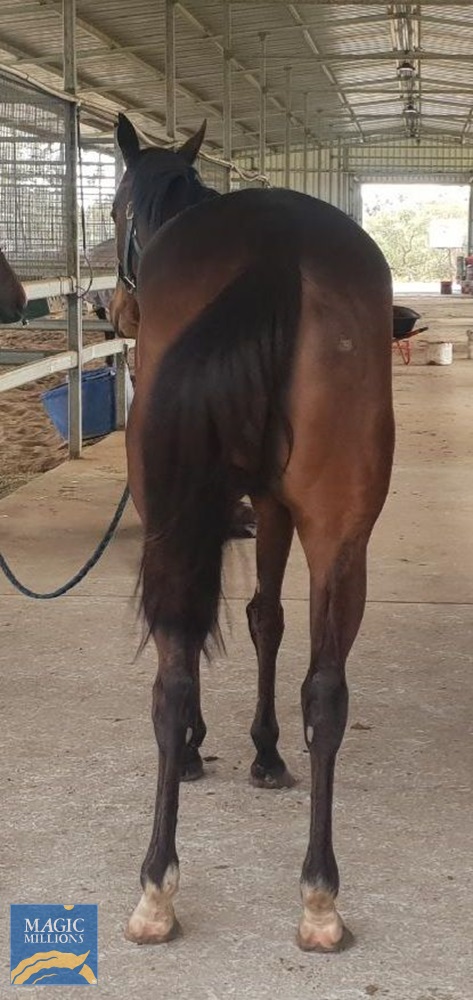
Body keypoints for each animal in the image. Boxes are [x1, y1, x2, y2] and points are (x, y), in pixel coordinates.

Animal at [113, 113, 395, 952]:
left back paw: (162, 882)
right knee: (325, 690)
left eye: (114, 208)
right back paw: (317, 896)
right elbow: (267, 617)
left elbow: (238, 620)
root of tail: (276, 247)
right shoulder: (264, 505)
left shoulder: (229, 507)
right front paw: (264, 752)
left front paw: (231, 748)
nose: (118, 310)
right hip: (340, 531)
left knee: (173, 676)